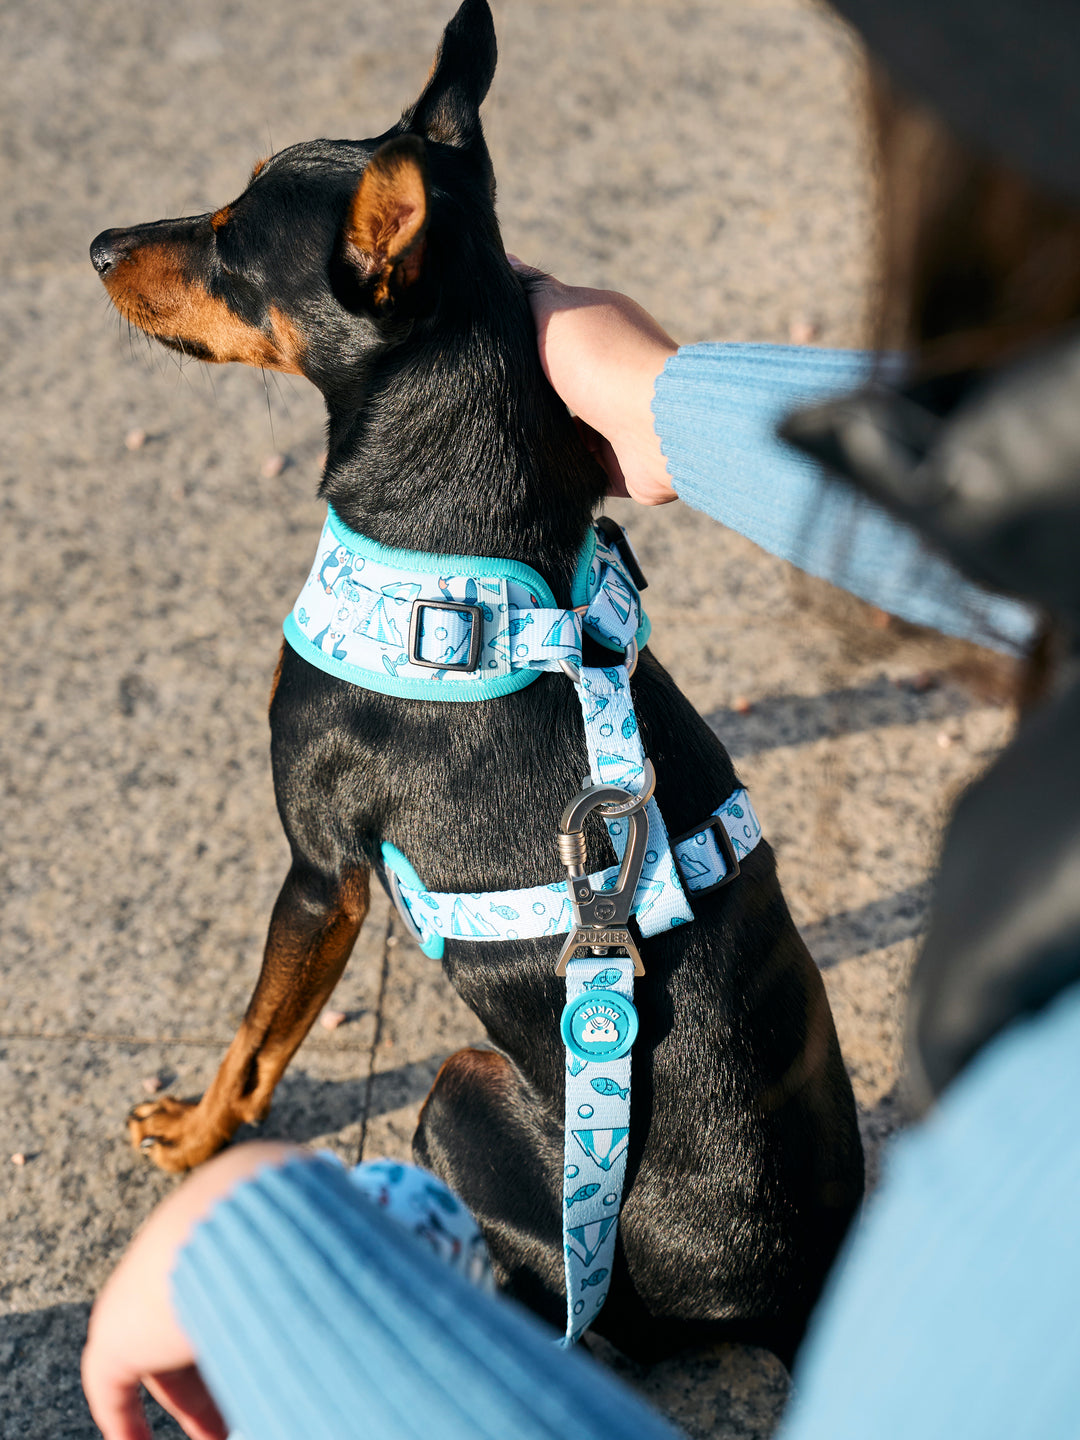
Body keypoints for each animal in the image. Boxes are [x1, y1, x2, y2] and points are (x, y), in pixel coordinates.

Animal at [95, 0, 864, 1365]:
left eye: (233, 242)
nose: (95, 246)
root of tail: (786, 1297)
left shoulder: (320, 870)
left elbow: (254, 1042)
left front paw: (192, 1140)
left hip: (463, 1090)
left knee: (583, 1329)